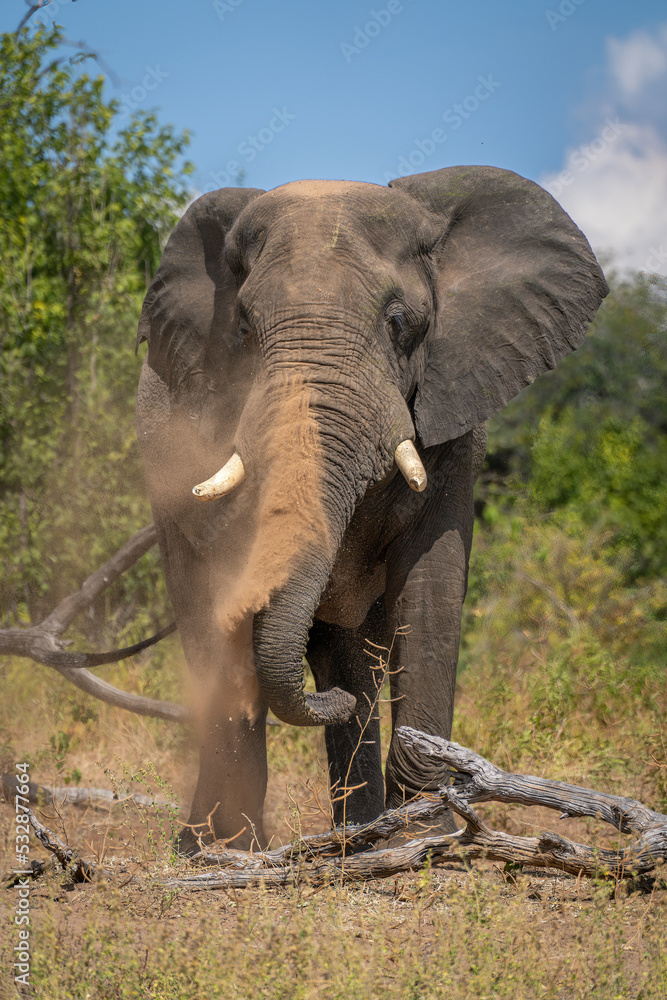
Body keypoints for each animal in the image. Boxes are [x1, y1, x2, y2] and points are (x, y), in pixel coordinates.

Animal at [135, 165, 608, 854]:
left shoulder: (454, 420)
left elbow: (432, 585)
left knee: (345, 653)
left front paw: (428, 834)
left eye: (398, 321)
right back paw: (225, 846)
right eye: (244, 326)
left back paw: (356, 833)